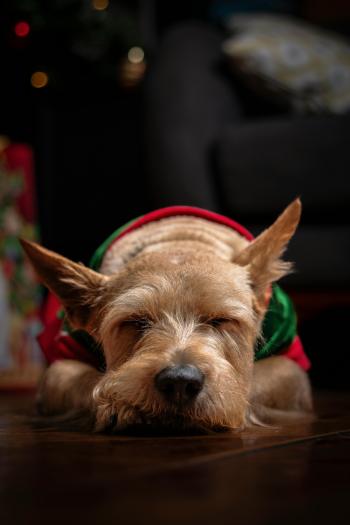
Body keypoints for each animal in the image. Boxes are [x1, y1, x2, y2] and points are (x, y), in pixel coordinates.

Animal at [21, 199, 312, 432]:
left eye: (221, 320)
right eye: (135, 322)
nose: (179, 382)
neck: (180, 240)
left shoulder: (291, 364)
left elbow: (254, 379)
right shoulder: (61, 359)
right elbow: (84, 378)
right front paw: (119, 402)